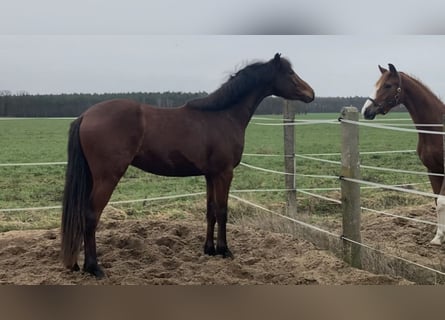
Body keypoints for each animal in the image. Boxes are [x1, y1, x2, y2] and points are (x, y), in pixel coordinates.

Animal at [62, 53, 314, 278]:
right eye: (289, 73)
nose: (311, 93)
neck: (223, 116)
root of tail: (86, 115)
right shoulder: (224, 174)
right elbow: (222, 211)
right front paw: (225, 250)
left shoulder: (211, 175)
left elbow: (210, 211)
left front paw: (209, 249)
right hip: (107, 178)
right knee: (91, 216)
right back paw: (94, 268)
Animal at [360, 63, 444, 246]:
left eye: (387, 85)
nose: (366, 111)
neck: (437, 129)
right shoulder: (433, 170)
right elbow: (436, 201)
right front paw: (438, 236)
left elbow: (441, 202)